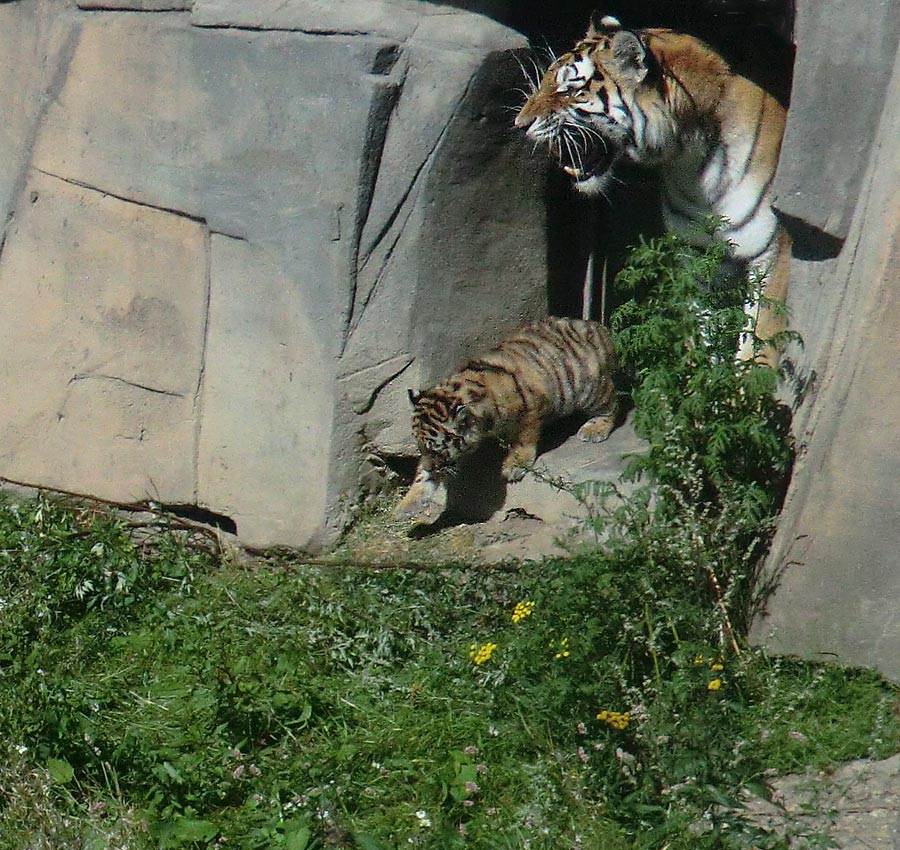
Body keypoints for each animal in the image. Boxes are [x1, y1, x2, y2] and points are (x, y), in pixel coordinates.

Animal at [516, 14, 792, 358]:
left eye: (570, 89)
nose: (520, 124)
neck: (691, 166)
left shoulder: (775, 255)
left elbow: (759, 348)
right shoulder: (696, 257)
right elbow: (702, 342)